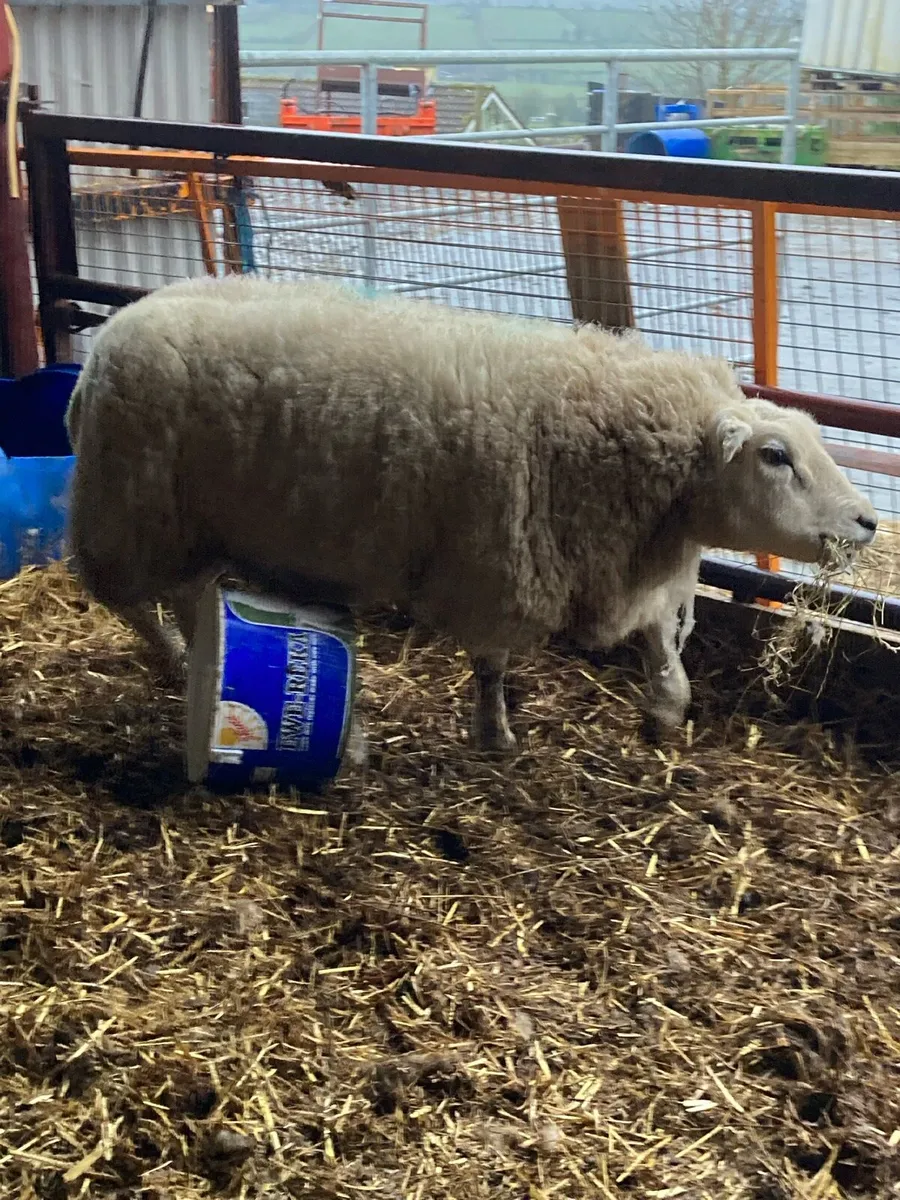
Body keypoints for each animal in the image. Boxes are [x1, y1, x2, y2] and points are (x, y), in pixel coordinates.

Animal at [65, 274, 878, 751]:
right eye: (775, 456)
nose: (869, 523)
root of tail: (112, 333)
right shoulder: (498, 567)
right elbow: (491, 665)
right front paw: (495, 736)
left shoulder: (614, 564)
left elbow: (659, 644)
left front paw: (666, 710)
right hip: (130, 510)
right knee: (130, 600)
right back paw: (178, 659)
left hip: (184, 522)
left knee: (184, 594)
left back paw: (196, 660)